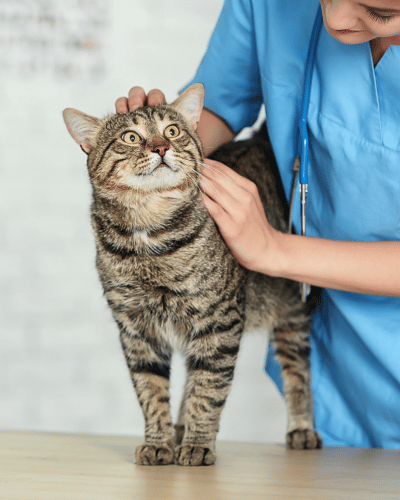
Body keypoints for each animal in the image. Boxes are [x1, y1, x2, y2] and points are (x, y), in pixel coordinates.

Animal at [62, 82, 322, 464]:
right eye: (131, 137)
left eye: (172, 131)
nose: (161, 147)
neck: (149, 234)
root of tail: (256, 140)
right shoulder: (137, 330)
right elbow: (151, 392)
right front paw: (159, 442)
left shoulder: (219, 322)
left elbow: (209, 389)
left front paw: (199, 444)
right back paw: (180, 427)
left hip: (292, 310)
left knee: (297, 368)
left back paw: (301, 428)